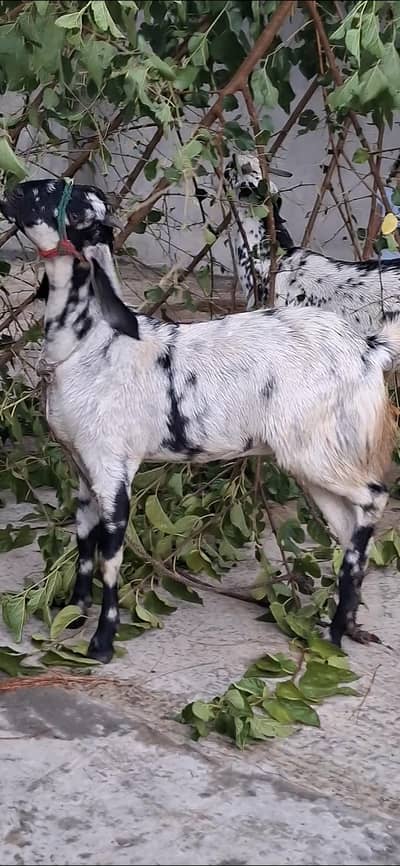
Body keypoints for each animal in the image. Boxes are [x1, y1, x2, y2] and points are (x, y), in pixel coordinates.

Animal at [2, 179, 399, 663]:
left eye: (52, 194)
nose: (11, 190)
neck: (92, 343)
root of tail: (369, 348)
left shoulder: (113, 468)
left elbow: (110, 557)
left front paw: (101, 643)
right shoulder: (83, 469)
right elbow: (83, 544)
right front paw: (74, 613)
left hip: (316, 449)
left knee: (374, 497)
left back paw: (340, 629)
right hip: (317, 460)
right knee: (349, 526)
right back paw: (343, 627)